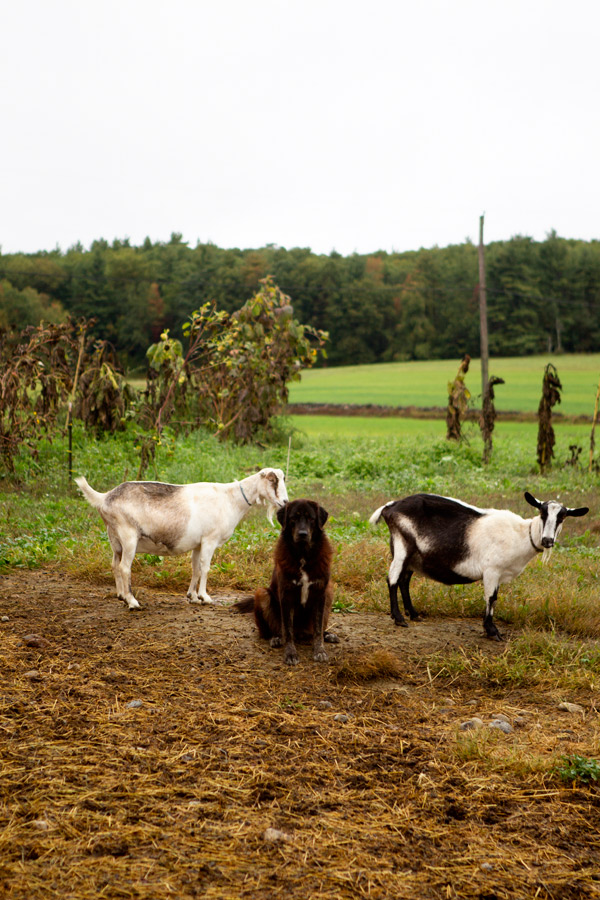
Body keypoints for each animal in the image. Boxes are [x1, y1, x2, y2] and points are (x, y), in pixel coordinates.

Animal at [75, 468, 288, 608]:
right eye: (272, 480)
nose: (285, 502)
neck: (231, 499)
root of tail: (105, 497)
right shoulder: (210, 539)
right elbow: (206, 568)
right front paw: (205, 597)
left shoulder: (198, 544)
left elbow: (196, 568)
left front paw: (192, 596)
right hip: (128, 536)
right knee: (124, 567)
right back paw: (132, 601)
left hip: (114, 538)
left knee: (114, 564)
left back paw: (120, 596)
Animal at [234, 500, 338, 660]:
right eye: (293, 518)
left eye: (311, 519)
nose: (303, 534)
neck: (303, 555)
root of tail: (301, 633)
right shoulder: (286, 595)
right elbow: (287, 629)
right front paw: (290, 653)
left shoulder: (320, 593)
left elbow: (318, 629)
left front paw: (320, 651)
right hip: (262, 593)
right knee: (273, 631)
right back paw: (276, 638)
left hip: (329, 592)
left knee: (316, 630)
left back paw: (328, 635)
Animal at [368, 492, 588, 640]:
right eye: (542, 513)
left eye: (562, 517)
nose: (547, 540)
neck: (521, 534)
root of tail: (390, 507)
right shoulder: (492, 570)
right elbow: (491, 598)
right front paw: (492, 631)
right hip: (402, 545)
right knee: (393, 578)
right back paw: (399, 618)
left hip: (413, 556)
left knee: (404, 580)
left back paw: (413, 614)